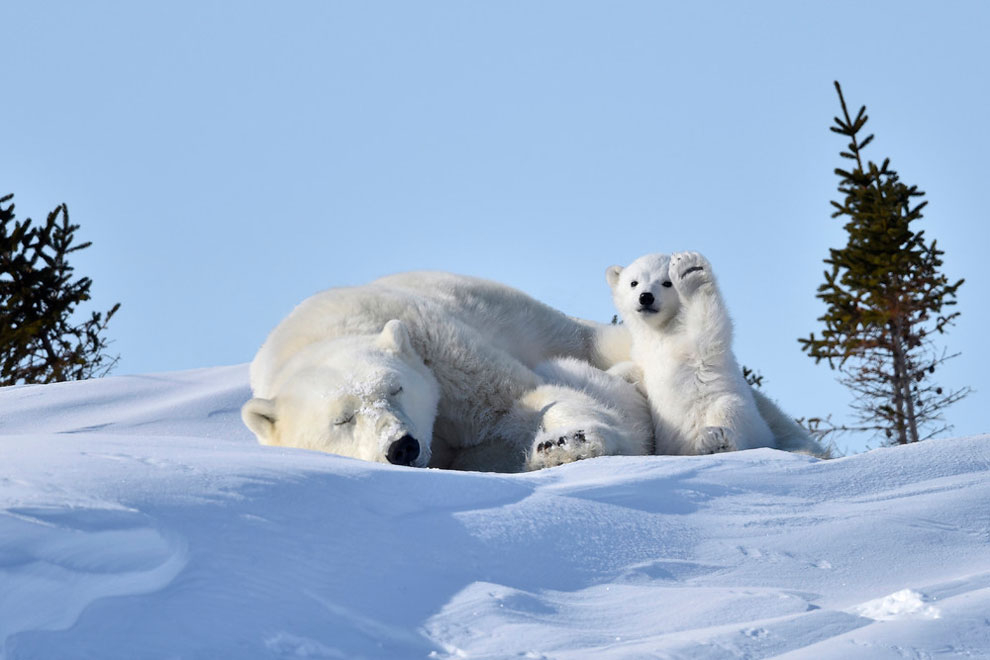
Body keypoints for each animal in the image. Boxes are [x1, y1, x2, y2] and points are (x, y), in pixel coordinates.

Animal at [244, 270, 656, 472]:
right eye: (342, 420)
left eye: (396, 388)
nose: (402, 447)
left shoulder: (438, 348)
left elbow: (518, 399)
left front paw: (568, 443)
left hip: (552, 326)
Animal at [608, 250, 824, 456]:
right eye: (634, 282)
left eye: (667, 283)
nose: (646, 297)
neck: (661, 331)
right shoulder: (644, 355)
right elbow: (634, 372)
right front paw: (612, 375)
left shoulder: (693, 344)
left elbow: (707, 326)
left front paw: (690, 271)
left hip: (742, 417)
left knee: (729, 411)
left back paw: (716, 441)